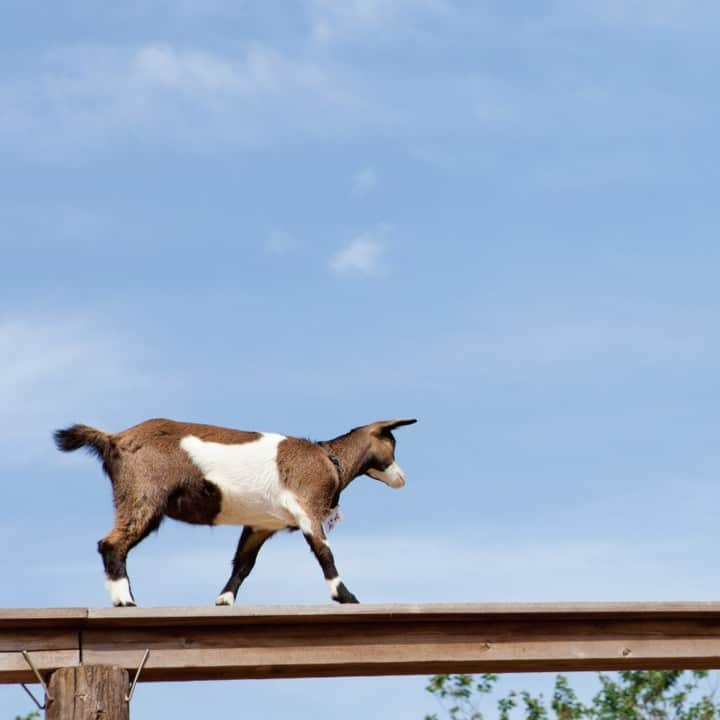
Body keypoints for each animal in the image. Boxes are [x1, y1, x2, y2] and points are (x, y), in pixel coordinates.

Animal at [53, 416, 416, 608]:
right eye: (392, 443)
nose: (402, 478)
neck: (329, 459)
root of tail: (114, 439)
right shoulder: (306, 506)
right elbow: (324, 552)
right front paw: (345, 596)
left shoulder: (260, 524)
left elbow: (243, 563)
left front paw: (224, 600)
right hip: (142, 495)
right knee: (112, 543)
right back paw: (125, 601)